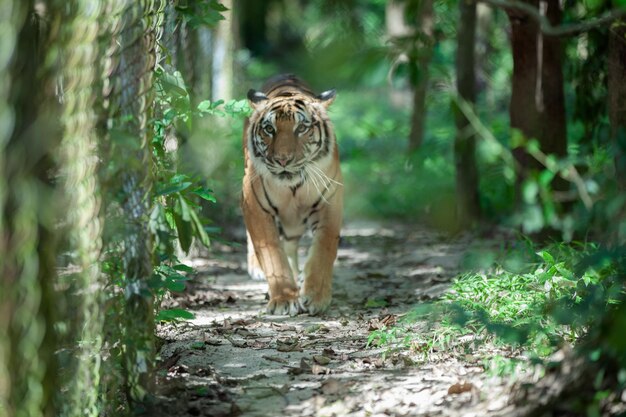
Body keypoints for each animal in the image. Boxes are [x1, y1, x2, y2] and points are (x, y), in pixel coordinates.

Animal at [241, 75, 344, 316]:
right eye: (269, 129)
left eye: (302, 128)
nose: (283, 160)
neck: (292, 188)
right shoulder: (255, 205)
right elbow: (271, 254)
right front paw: (284, 299)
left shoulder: (330, 202)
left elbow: (324, 249)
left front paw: (316, 296)